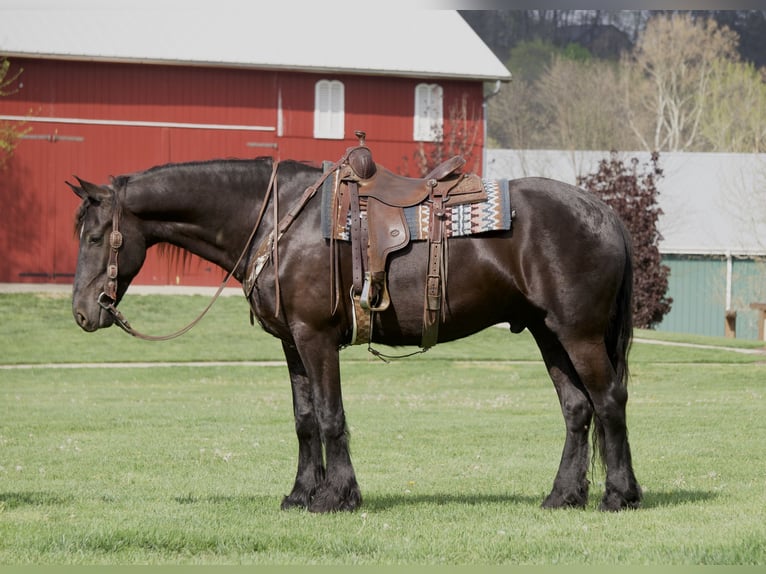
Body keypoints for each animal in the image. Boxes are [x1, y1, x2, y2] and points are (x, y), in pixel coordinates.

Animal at [68, 153, 642, 513]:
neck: (279, 219)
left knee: (609, 401)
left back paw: (619, 495)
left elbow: (330, 416)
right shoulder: (292, 343)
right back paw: (563, 496)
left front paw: (335, 496)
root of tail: (604, 213)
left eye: (95, 237)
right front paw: (300, 494)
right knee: (577, 409)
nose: (81, 313)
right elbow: (304, 420)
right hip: (549, 333)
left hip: (579, 334)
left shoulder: (316, 337)